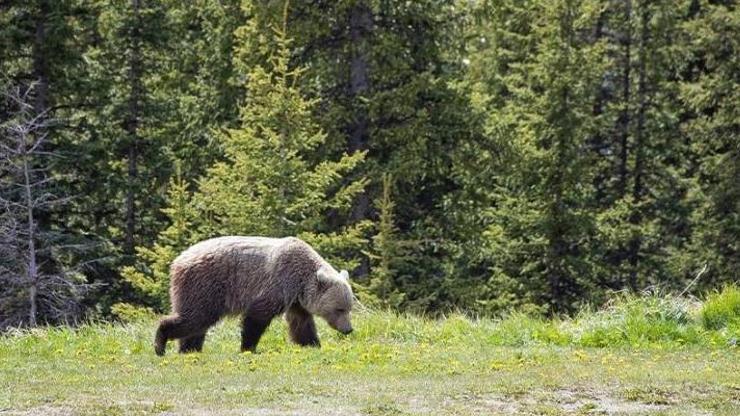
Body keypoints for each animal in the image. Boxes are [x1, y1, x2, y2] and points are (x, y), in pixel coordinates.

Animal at [153, 236, 352, 356]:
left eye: (349, 308)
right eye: (339, 309)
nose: (348, 329)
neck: (300, 281)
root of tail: (178, 260)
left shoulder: (296, 300)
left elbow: (301, 323)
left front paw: (312, 344)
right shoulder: (277, 284)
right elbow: (256, 317)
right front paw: (248, 347)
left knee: (196, 324)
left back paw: (189, 349)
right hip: (205, 285)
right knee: (195, 318)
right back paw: (161, 343)